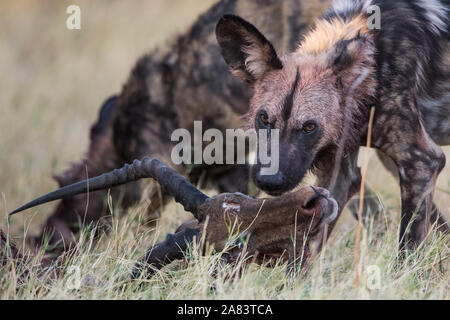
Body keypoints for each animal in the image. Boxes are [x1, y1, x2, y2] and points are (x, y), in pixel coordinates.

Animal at [216, 0, 448, 251]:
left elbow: (407, 247)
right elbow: (305, 250)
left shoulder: (422, 161)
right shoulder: (339, 174)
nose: (270, 180)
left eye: (309, 127)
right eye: (264, 119)